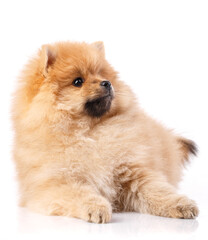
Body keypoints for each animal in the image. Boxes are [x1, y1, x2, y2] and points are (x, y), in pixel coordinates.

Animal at [12, 40, 199, 223]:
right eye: (78, 82)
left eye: (102, 75)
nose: (107, 83)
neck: (89, 132)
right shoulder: (56, 183)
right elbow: (79, 194)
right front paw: (96, 207)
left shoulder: (132, 171)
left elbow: (157, 190)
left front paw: (179, 204)